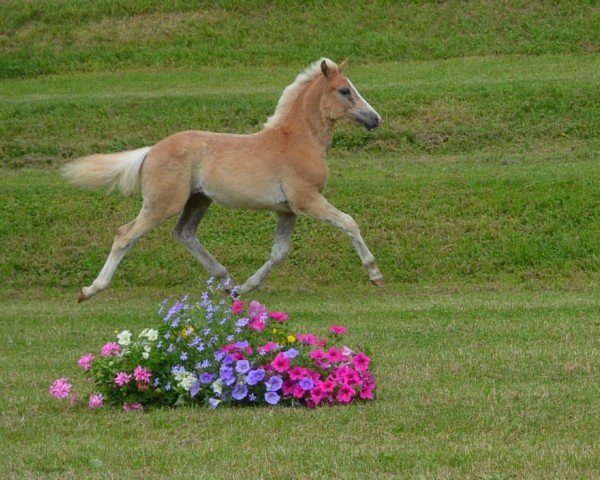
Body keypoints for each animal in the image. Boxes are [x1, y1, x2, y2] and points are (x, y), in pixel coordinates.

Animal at [64, 58, 384, 302]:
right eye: (345, 90)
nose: (376, 119)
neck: (298, 140)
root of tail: (152, 150)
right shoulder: (307, 200)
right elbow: (349, 222)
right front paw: (375, 275)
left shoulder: (286, 210)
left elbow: (279, 252)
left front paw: (245, 287)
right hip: (162, 204)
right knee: (125, 234)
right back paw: (90, 290)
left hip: (198, 200)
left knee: (184, 234)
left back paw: (227, 283)